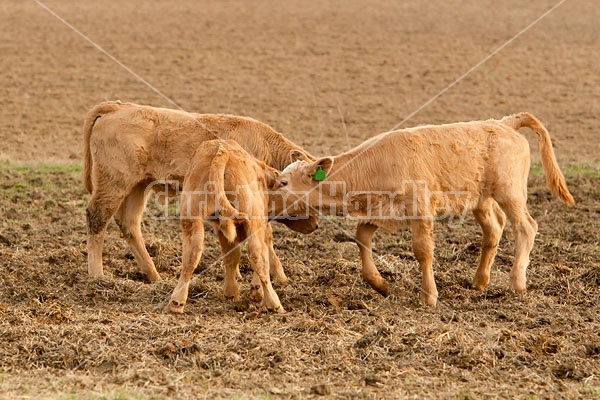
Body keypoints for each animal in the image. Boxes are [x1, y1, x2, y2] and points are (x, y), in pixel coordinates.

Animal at [274, 112, 576, 306]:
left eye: (283, 182)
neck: (375, 165)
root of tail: (503, 123)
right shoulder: (380, 211)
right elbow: (362, 238)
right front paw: (379, 283)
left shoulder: (420, 211)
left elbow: (423, 251)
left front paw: (428, 296)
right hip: (481, 199)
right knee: (494, 228)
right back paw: (479, 281)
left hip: (510, 192)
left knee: (526, 227)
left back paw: (517, 282)